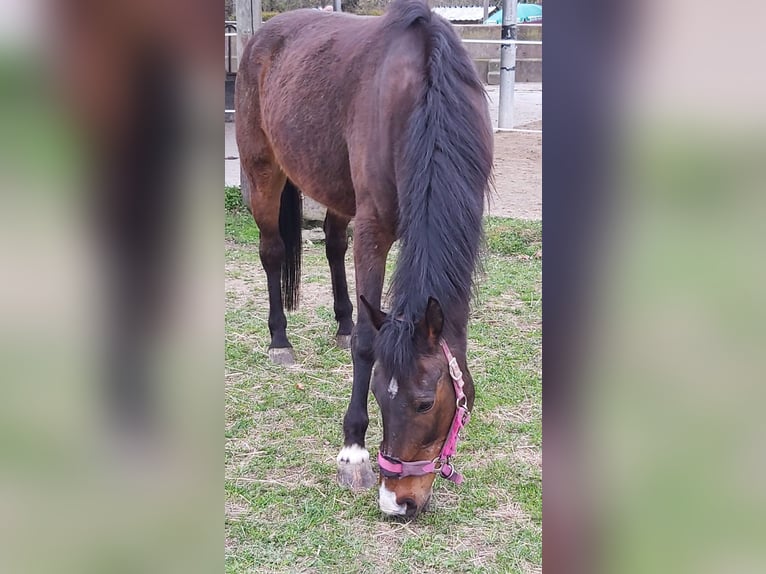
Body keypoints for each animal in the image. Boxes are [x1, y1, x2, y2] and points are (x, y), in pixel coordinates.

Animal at [236, 0, 498, 516]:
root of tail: (263, 35)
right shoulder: (374, 228)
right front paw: (353, 452)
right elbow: (366, 342)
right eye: (377, 393)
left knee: (334, 245)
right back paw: (280, 340)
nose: (398, 502)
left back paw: (338, 323)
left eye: (424, 402)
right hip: (262, 173)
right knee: (272, 252)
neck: (423, 93)